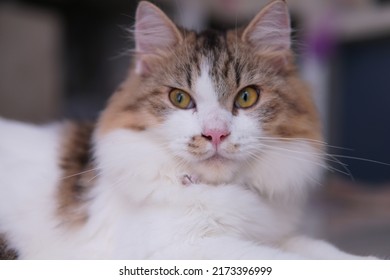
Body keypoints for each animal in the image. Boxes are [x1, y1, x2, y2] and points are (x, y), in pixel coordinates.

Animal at [0, 0, 376, 260]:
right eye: (180, 98)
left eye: (247, 97)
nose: (216, 134)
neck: (217, 190)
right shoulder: (183, 248)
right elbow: (289, 261)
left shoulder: (272, 232)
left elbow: (319, 247)